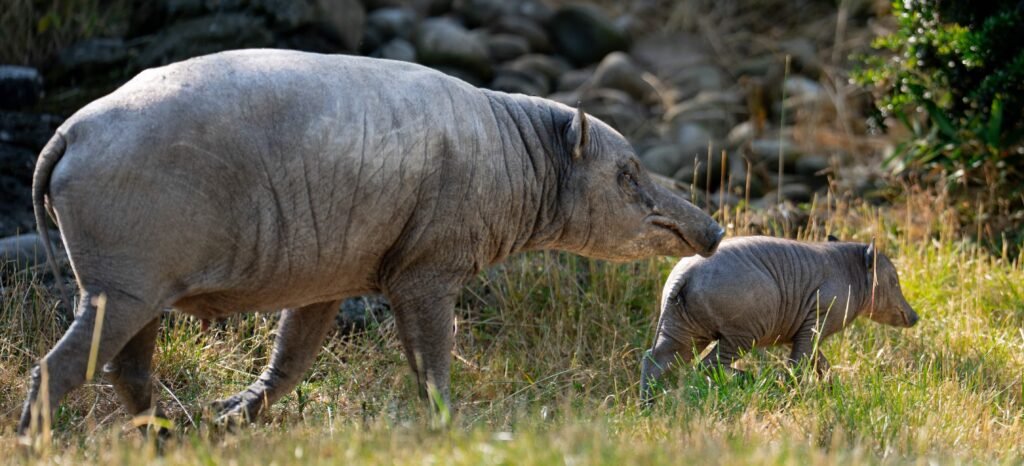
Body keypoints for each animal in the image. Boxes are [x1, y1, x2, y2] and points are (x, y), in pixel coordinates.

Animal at [18, 49, 725, 434]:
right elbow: (431, 359)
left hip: (137, 292)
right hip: (122, 286)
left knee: (128, 371)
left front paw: (230, 417)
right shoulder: (428, 271)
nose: (714, 231)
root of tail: (68, 133)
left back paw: (169, 437)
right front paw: (445, 427)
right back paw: (35, 442)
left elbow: (290, 359)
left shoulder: (327, 282)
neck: (521, 158)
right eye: (628, 175)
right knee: (59, 369)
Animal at [640, 235, 918, 402]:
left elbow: (821, 363)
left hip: (682, 331)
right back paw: (748, 379)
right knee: (708, 364)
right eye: (894, 281)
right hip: (742, 334)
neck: (851, 274)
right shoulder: (815, 324)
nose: (915, 317)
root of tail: (682, 276)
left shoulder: (804, 333)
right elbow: (798, 363)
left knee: (655, 361)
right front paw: (788, 391)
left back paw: (648, 405)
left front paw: (834, 391)